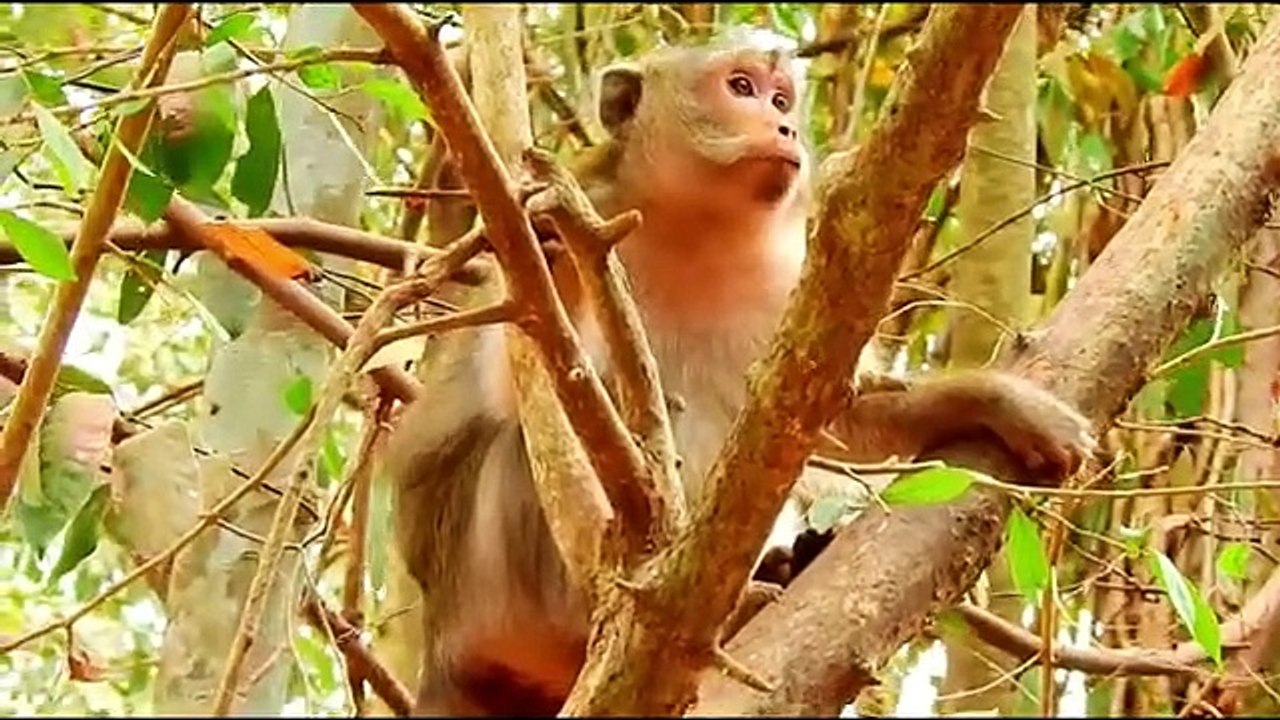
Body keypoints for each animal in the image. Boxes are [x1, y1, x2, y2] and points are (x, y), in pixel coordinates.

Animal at [383, 42, 1096, 716]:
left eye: (781, 98)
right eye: (741, 87)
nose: (784, 126)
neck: (689, 230)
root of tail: (443, 647)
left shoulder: (783, 284)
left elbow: (840, 417)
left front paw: (997, 403)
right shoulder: (587, 208)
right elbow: (518, 391)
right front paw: (554, 259)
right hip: (495, 597)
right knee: (521, 451)